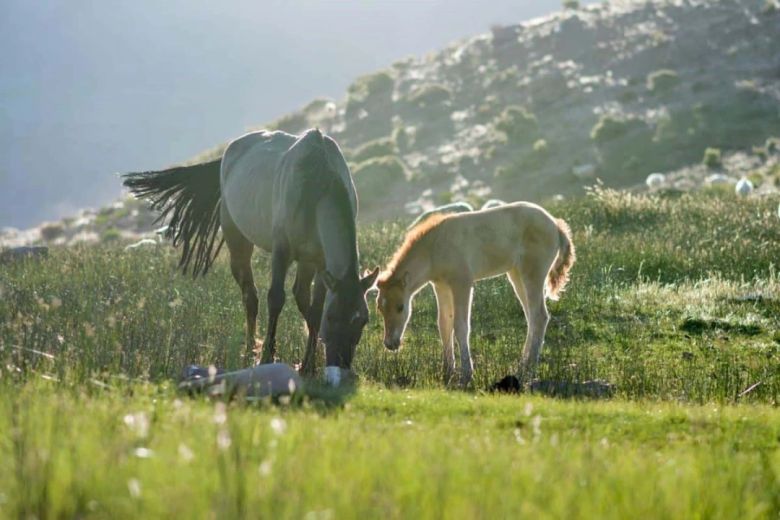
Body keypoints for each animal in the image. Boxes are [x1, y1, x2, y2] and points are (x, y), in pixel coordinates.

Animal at [374, 202, 576, 386]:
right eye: (380, 309)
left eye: (400, 307)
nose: (390, 344)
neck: (435, 247)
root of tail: (555, 224)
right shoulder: (441, 286)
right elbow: (444, 324)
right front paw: (447, 372)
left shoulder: (462, 283)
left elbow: (461, 326)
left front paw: (466, 375)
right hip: (517, 275)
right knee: (532, 318)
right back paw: (522, 365)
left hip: (533, 273)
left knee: (540, 316)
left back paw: (526, 369)